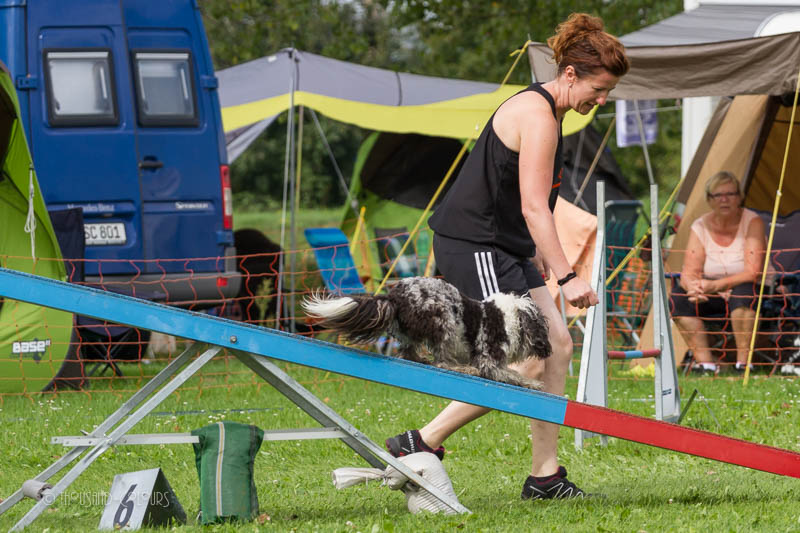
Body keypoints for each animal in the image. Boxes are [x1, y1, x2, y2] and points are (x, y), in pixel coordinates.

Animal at [301, 276, 551, 389]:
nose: (548, 349)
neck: (513, 318)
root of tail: (393, 296)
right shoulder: (489, 362)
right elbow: (513, 375)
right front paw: (534, 384)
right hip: (444, 320)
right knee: (441, 362)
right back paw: (463, 368)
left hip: (413, 332)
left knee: (409, 353)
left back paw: (423, 359)